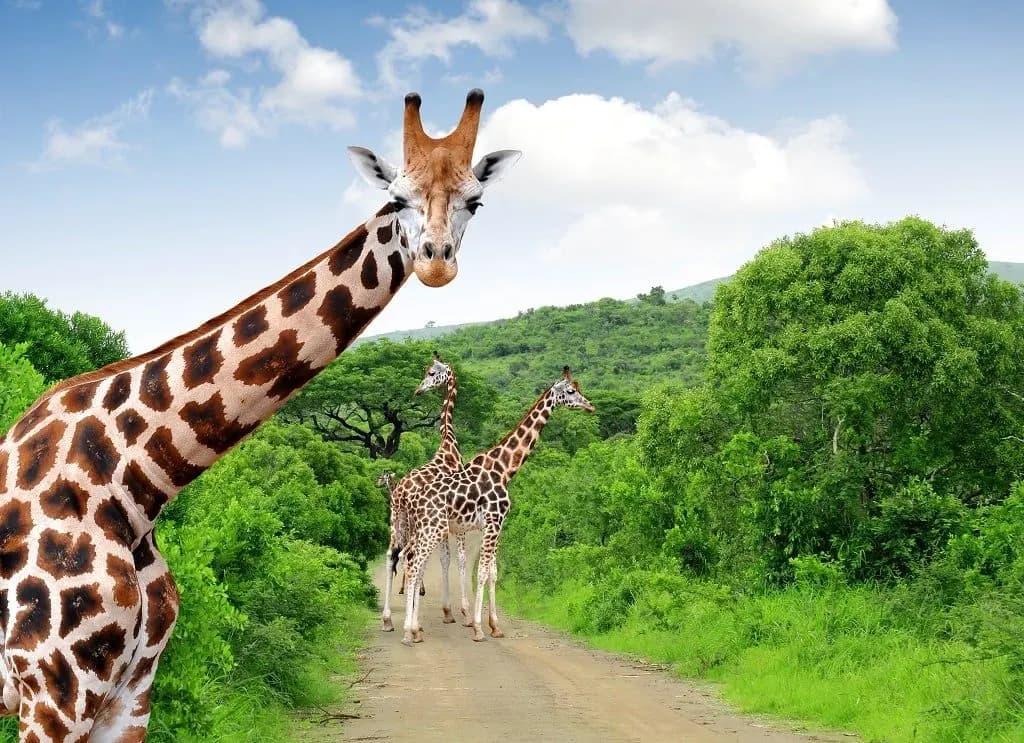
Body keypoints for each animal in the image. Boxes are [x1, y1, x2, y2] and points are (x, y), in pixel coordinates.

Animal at [380, 353, 467, 631]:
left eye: (431, 372)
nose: (418, 390)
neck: (449, 446)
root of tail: (399, 493)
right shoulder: (456, 522)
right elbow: (455, 558)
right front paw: (459, 612)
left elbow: (443, 559)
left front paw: (447, 611)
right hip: (414, 525)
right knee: (410, 556)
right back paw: (412, 621)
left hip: (396, 521)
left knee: (393, 555)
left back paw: (388, 619)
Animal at [401, 368, 595, 646]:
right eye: (570, 391)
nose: (591, 406)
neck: (504, 469)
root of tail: (411, 499)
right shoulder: (493, 522)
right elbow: (481, 572)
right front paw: (478, 628)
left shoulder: (495, 525)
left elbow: (492, 573)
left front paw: (495, 627)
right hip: (432, 530)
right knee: (414, 566)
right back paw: (409, 631)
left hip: (424, 530)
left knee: (410, 564)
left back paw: (412, 628)